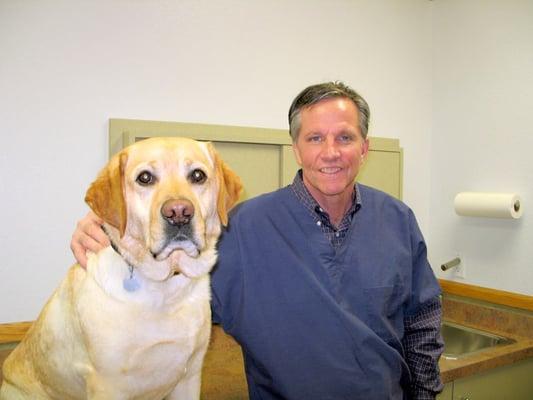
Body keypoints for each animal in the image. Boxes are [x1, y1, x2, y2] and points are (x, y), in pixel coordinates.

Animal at [0, 136, 241, 398]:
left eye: (197, 175)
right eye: (145, 178)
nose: (179, 213)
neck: (165, 287)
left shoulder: (190, 376)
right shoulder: (107, 384)